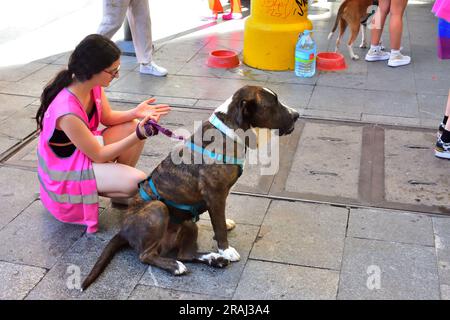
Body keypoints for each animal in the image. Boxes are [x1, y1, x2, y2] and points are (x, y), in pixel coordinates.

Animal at [81, 85, 298, 290]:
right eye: (273, 103)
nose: (296, 115)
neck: (229, 130)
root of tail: (123, 230)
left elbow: (219, 221)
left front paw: (224, 233)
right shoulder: (215, 194)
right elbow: (219, 226)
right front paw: (226, 249)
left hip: (188, 223)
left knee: (185, 253)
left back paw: (213, 259)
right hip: (157, 209)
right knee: (146, 255)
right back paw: (177, 266)